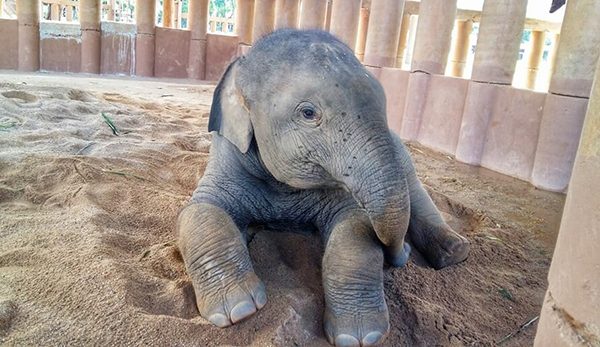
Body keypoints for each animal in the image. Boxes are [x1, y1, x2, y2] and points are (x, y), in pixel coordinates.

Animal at [178, 30, 468, 347]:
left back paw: (454, 251)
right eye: (308, 113)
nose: (403, 251)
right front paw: (238, 308)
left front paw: (361, 335)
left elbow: (355, 227)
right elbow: (199, 210)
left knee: (415, 189)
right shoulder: (227, 154)